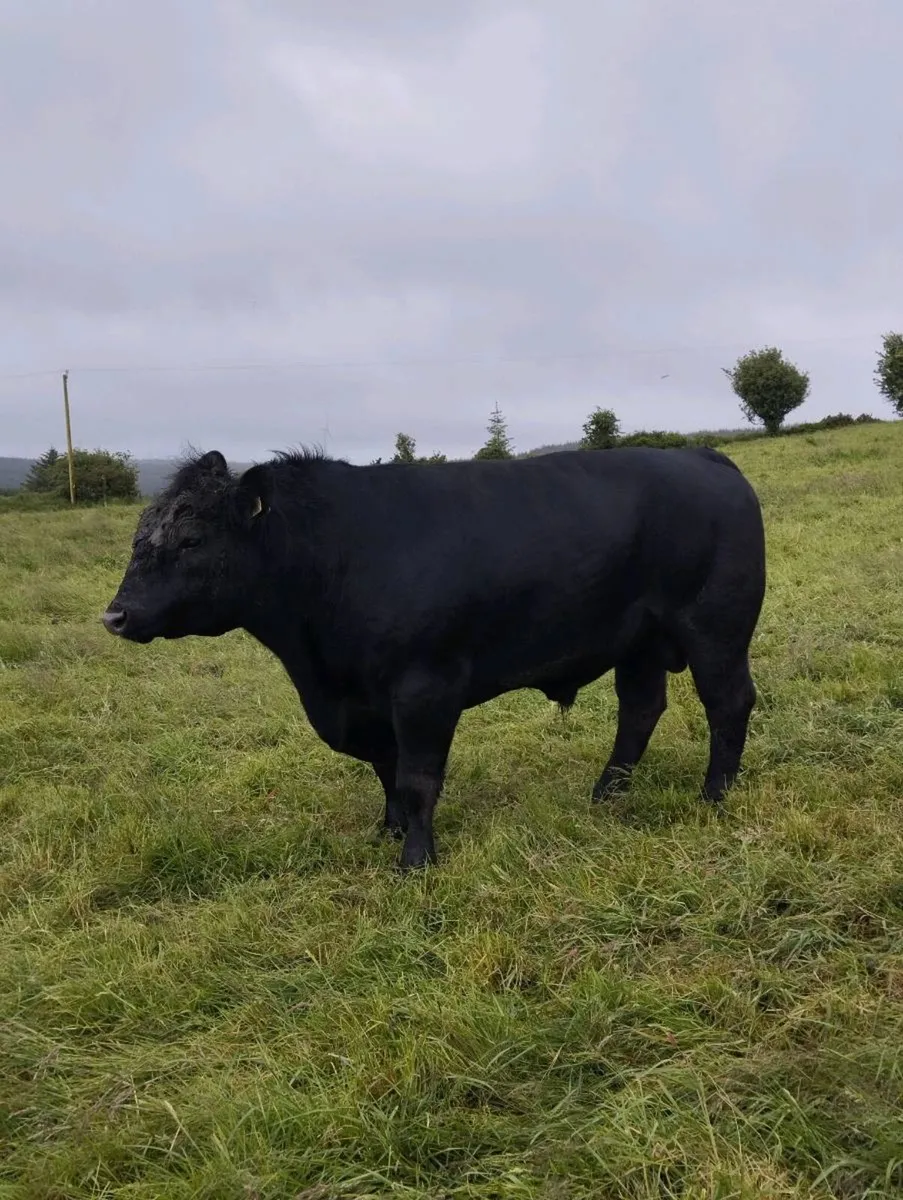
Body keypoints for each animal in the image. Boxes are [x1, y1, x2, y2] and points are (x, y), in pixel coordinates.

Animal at [102, 444, 766, 871]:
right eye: (139, 536)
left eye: (192, 540)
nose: (116, 616)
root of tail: (704, 456)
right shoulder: (366, 704)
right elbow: (386, 771)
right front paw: (386, 830)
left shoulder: (425, 688)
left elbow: (419, 777)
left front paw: (416, 859)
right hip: (638, 641)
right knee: (640, 709)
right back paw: (607, 792)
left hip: (716, 629)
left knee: (728, 703)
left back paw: (715, 794)